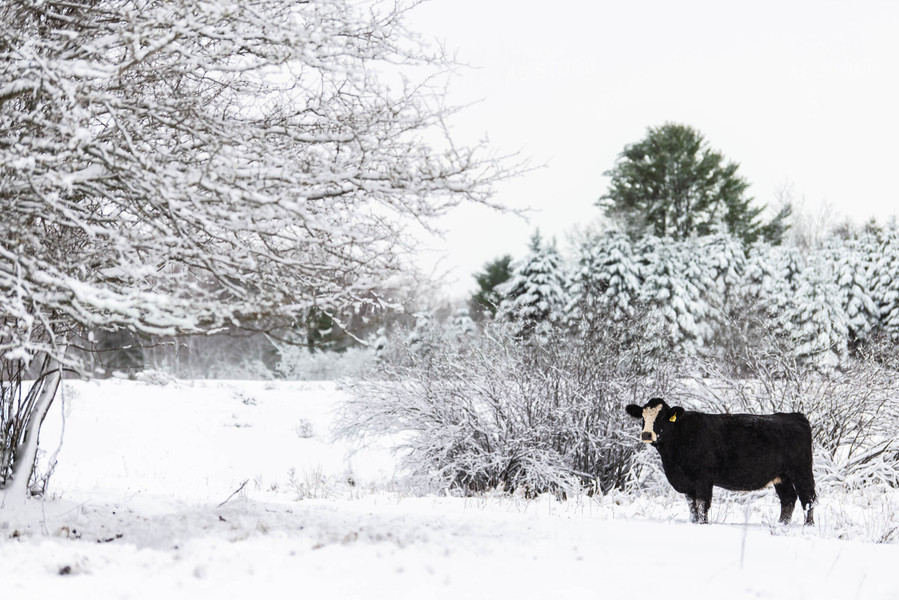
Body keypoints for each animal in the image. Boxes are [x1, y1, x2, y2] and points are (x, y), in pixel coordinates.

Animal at [624, 398, 816, 524]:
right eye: (643, 417)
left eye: (662, 417)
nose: (646, 434)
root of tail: (794, 416)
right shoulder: (687, 483)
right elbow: (692, 506)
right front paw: (693, 523)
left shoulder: (703, 479)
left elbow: (702, 505)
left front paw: (703, 524)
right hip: (781, 476)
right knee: (788, 499)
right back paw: (781, 525)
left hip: (801, 471)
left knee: (808, 498)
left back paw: (808, 526)